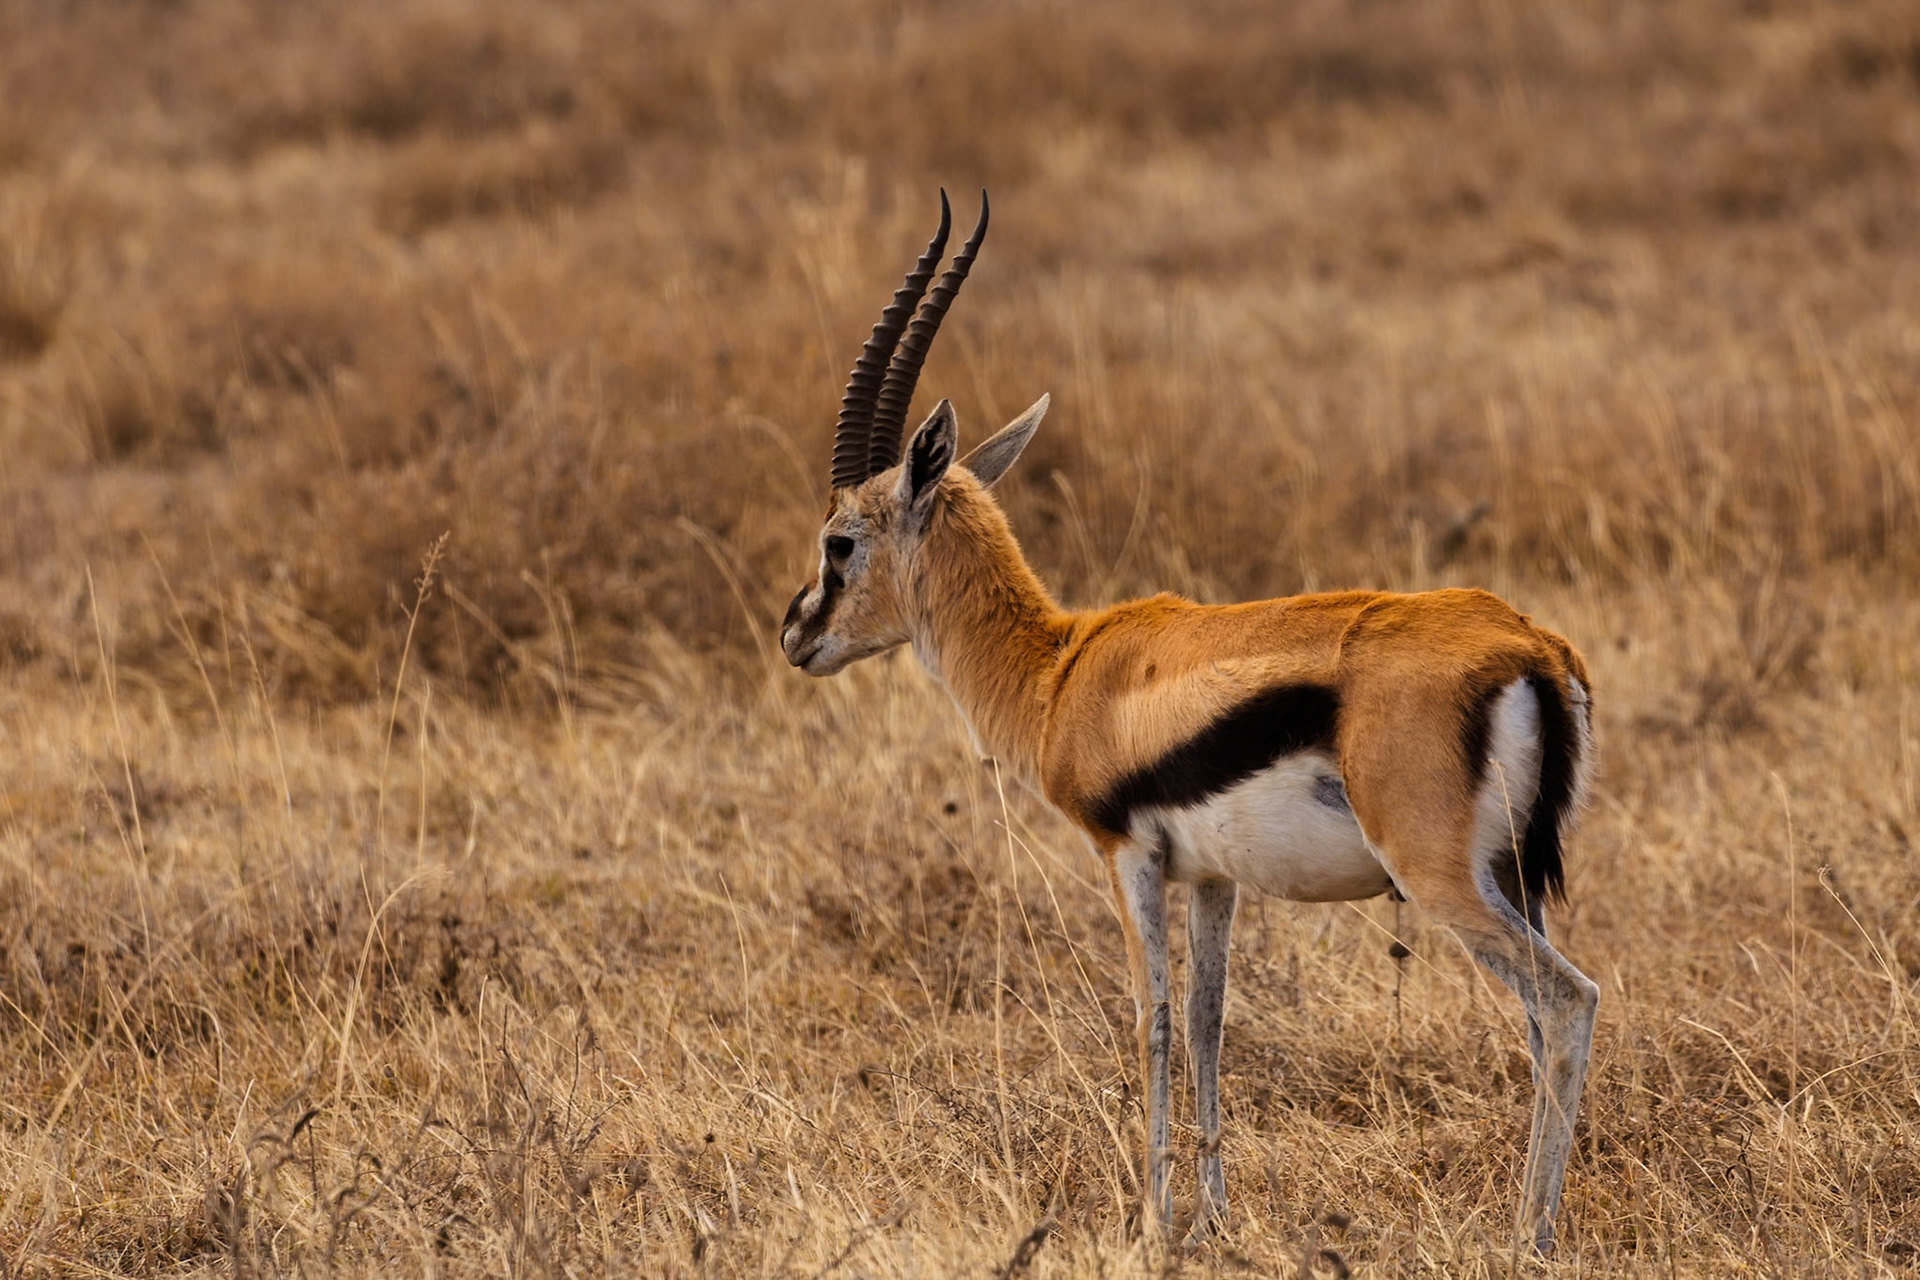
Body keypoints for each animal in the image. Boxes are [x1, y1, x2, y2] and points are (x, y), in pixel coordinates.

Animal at [780, 191, 1600, 1255]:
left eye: (840, 541)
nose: (795, 632)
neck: (1059, 669)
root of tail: (1532, 646)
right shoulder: (1215, 877)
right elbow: (1212, 1022)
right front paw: (1211, 1216)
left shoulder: (1124, 854)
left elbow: (1153, 1020)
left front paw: (1151, 1223)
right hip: (1515, 881)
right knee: (1541, 1023)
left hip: (1445, 881)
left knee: (1568, 1003)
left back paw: (1525, 1237)